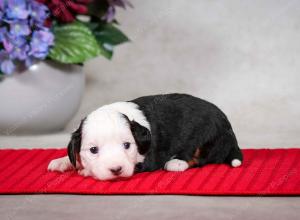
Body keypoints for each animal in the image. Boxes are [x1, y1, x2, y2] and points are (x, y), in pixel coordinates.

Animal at [48, 93, 243, 180]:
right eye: (93, 150)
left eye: (127, 145)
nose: (116, 169)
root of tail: (228, 126)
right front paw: (62, 161)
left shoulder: (148, 159)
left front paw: (85, 171)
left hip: (208, 136)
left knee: (202, 157)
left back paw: (177, 162)